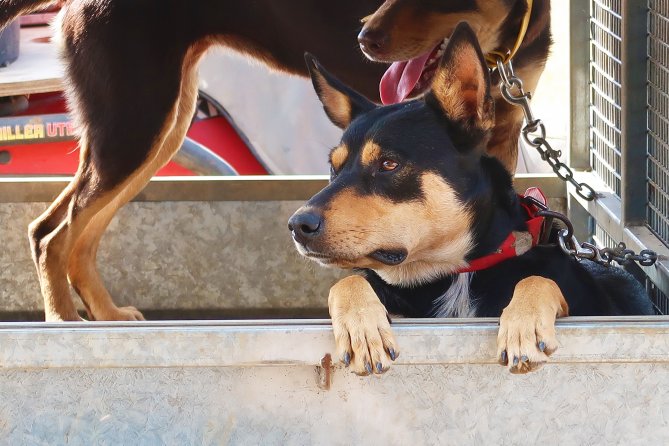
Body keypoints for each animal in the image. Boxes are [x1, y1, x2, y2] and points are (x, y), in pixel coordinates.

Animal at [288, 22, 652, 374]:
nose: (297, 225)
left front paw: (524, 326)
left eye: (389, 164)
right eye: (333, 168)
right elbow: (349, 281)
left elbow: (538, 278)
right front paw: (361, 328)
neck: (455, 272)